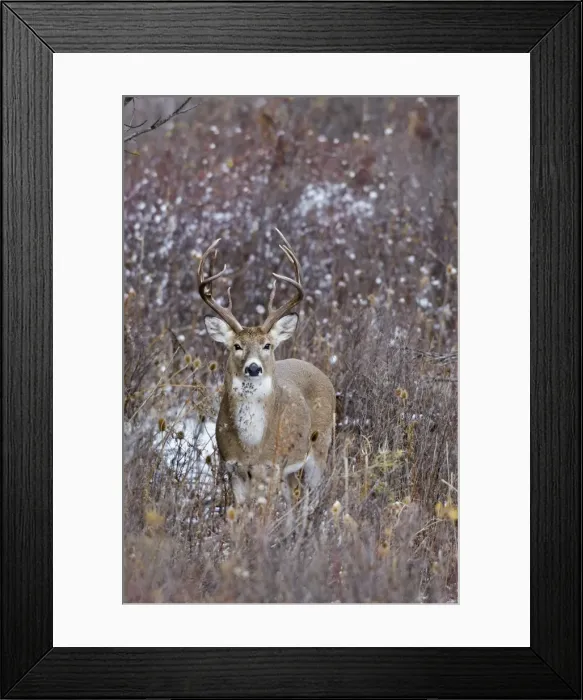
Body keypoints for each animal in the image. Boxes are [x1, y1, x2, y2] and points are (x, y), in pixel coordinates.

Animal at [197, 228, 335, 534]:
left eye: (267, 345)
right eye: (236, 346)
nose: (253, 368)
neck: (252, 446)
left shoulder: (270, 467)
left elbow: (263, 519)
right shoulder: (234, 469)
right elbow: (239, 520)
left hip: (319, 451)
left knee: (310, 501)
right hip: (289, 471)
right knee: (294, 502)